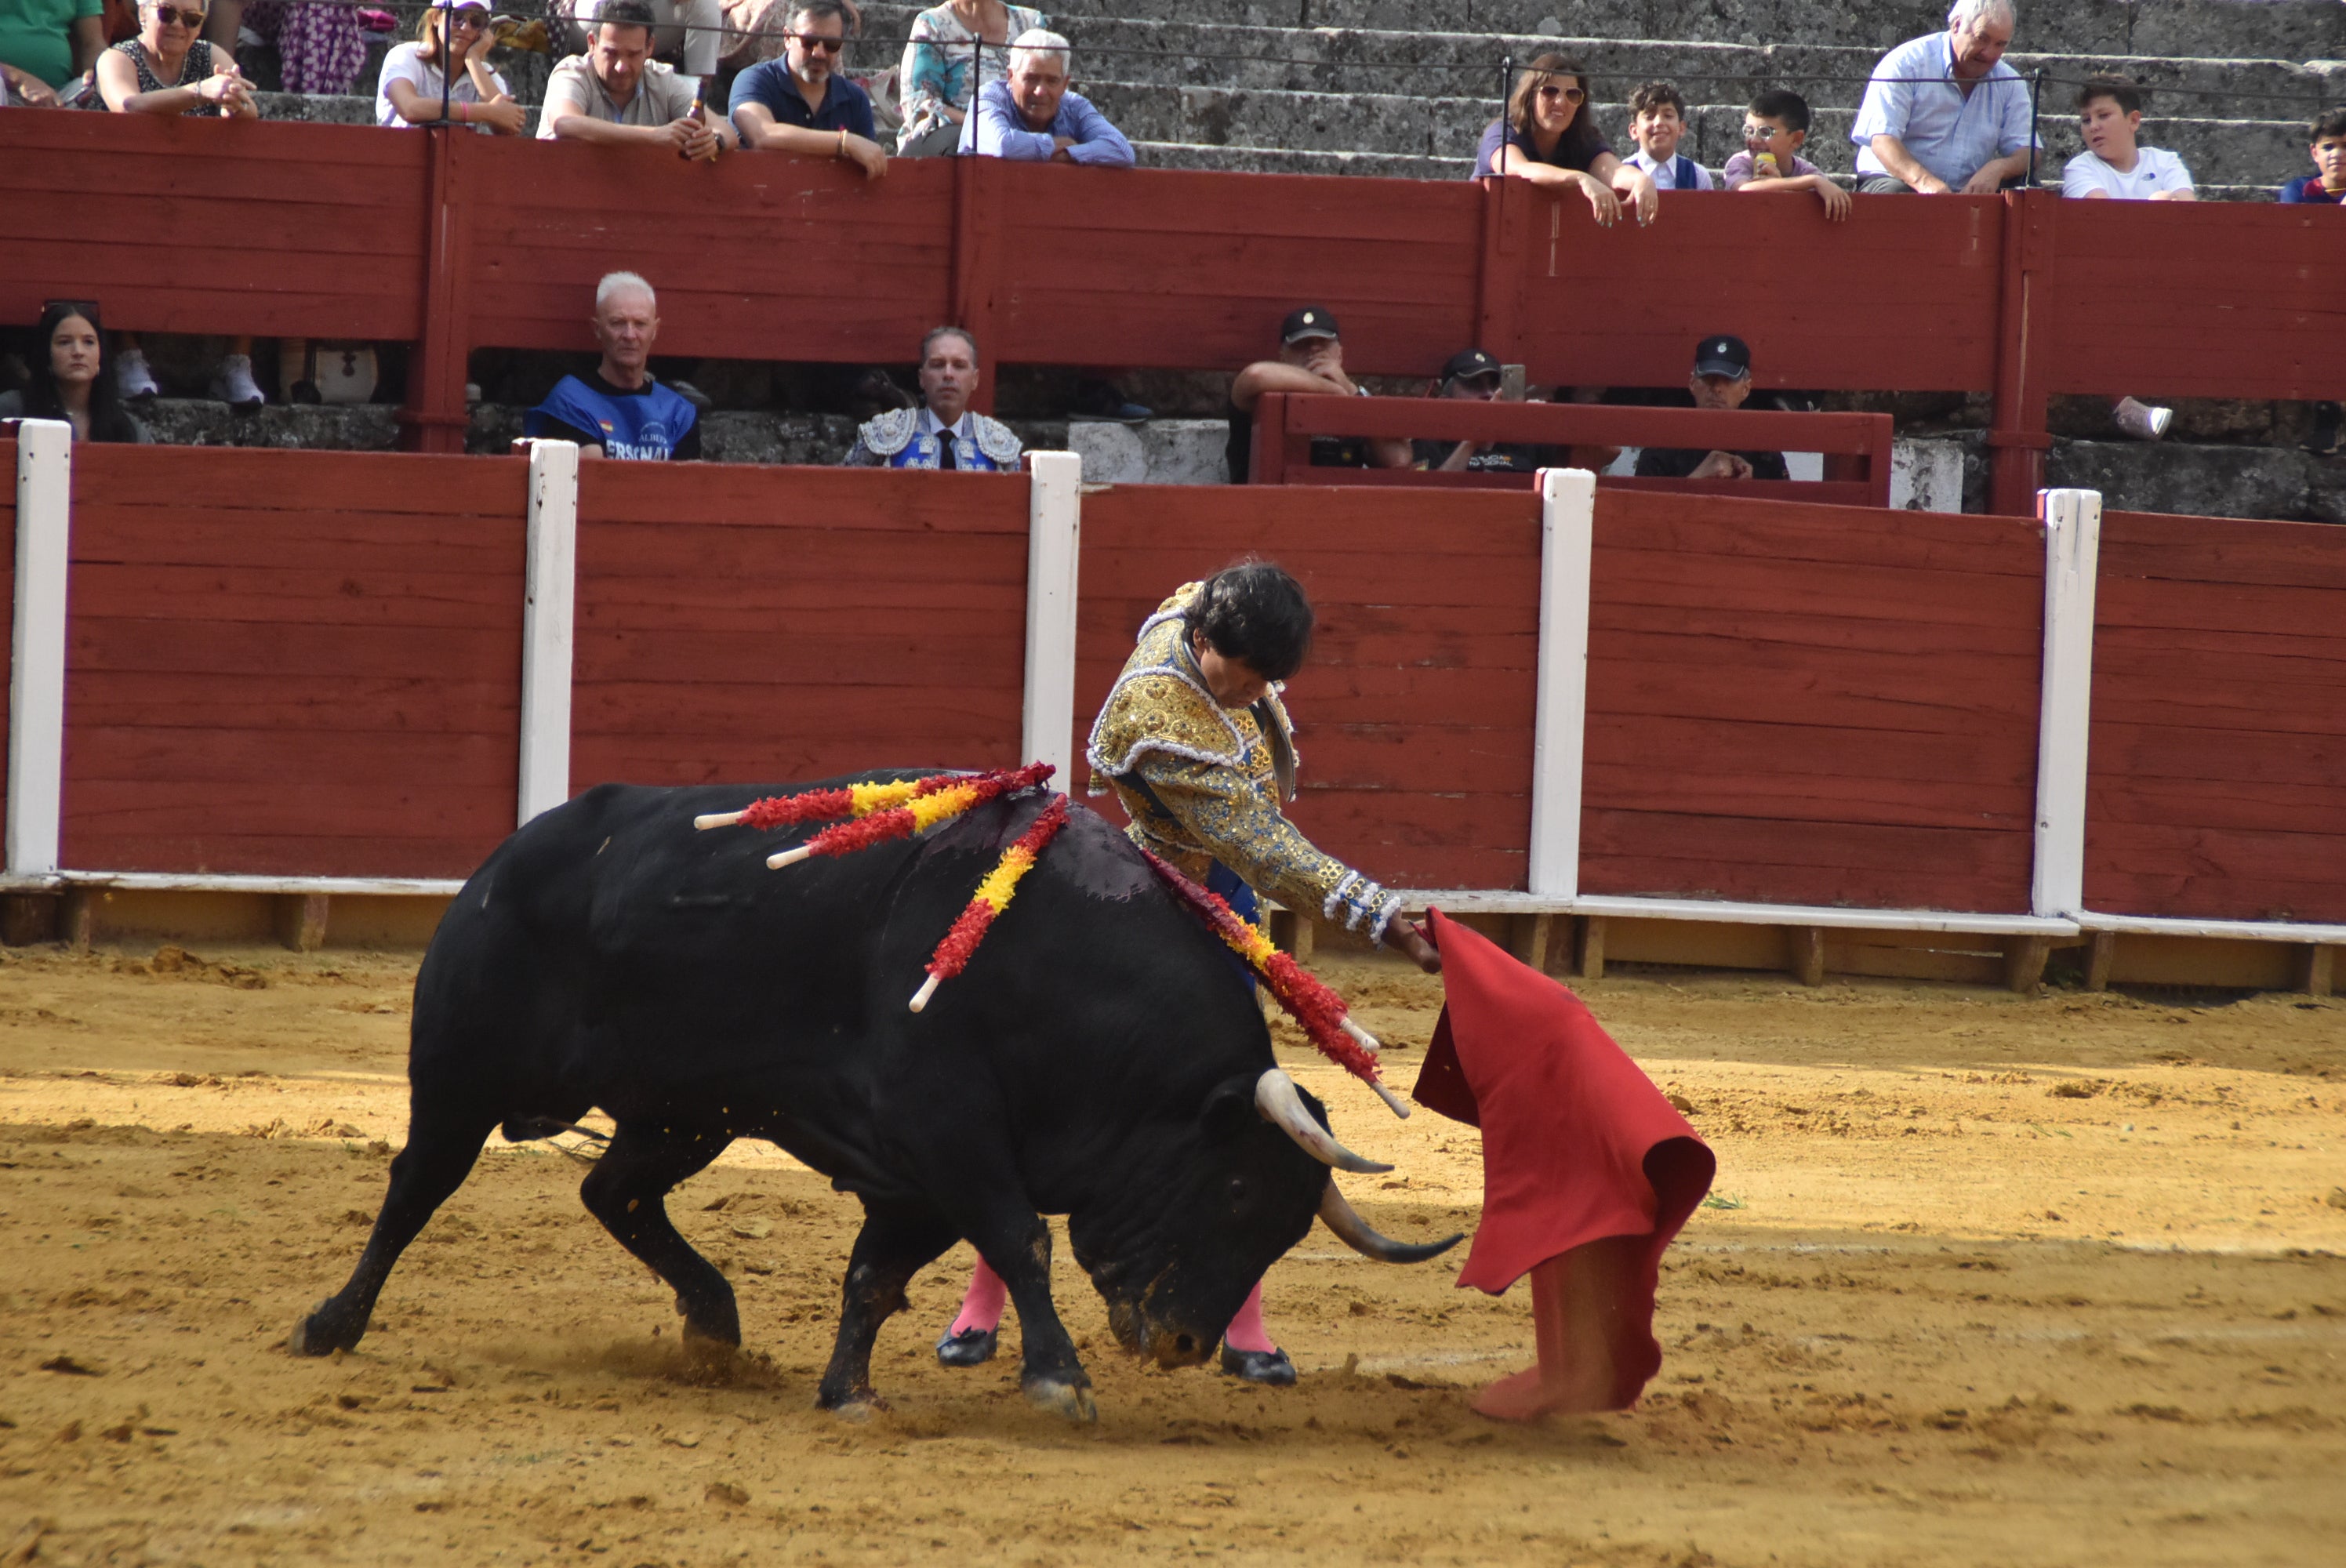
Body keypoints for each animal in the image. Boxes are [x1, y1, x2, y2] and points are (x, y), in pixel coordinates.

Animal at [291, 770, 1454, 1417]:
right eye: (1234, 1193)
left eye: (1285, 1230)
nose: (1178, 1346)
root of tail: (503, 858)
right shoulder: (949, 1133)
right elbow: (1022, 1240)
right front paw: (1060, 1378)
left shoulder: (918, 1178)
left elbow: (874, 1277)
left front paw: (846, 1391)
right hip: (460, 1072)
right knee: (417, 1186)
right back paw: (331, 1325)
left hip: (685, 1113)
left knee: (614, 1192)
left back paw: (713, 1321)